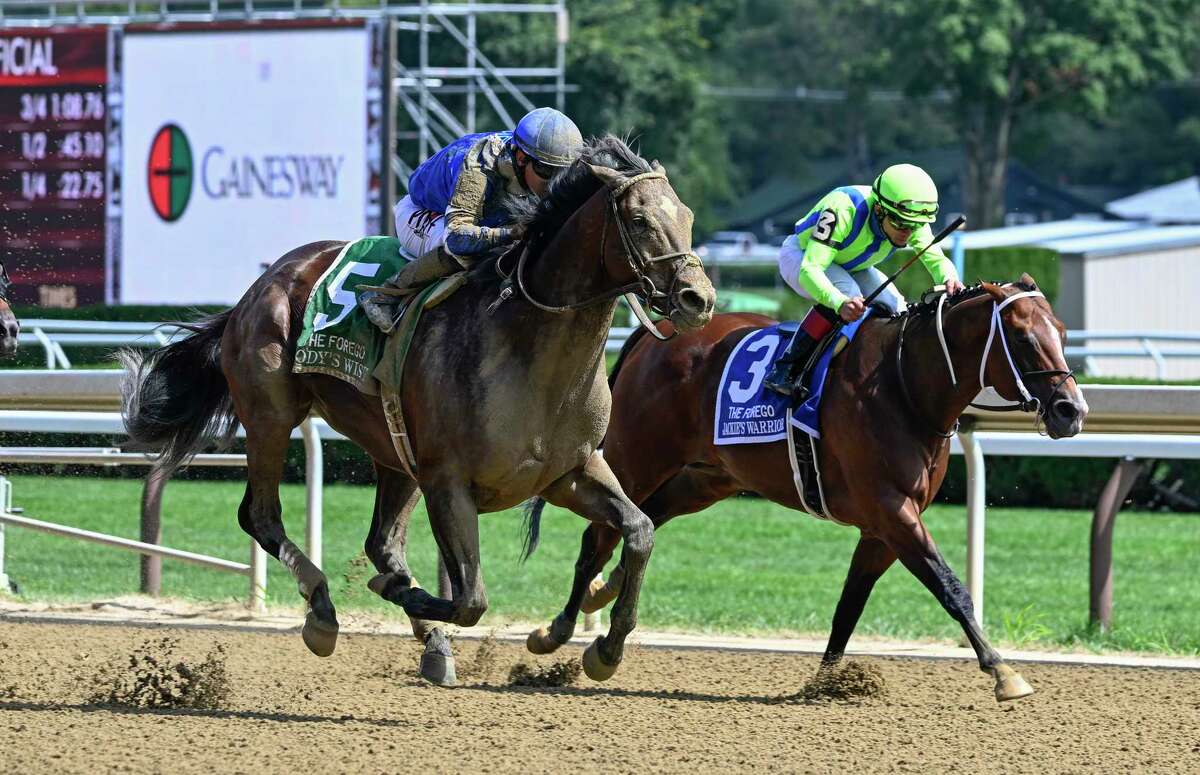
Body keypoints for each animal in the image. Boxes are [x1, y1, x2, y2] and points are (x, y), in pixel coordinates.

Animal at [121, 137, 710, 686]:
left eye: (687, 216)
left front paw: (606, 649)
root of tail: (260, 285)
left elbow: (639, 531)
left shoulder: (569, 471)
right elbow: (471, 598)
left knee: (382, 542)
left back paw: (428, 639)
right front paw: (403, 596)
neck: (528, 346)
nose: (697, 298)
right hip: (271, 414)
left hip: (393, 449)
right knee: (261, 516)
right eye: (639, 219)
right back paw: (324, 612)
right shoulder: (448, 481)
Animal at [525, 279, 1089, 705]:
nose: (1071, 411)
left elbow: (849, 604)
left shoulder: (882, 529)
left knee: (643, 522)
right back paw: (564, 633)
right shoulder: (894, 513)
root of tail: (655, 337)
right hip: (637, 457)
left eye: (1062, 332)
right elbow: (951, 588)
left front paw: (826, 682)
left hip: (705, 478)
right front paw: (1002, 671)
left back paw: (604, 594)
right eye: (1022, 337)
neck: (904, 387)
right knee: (599, 537)